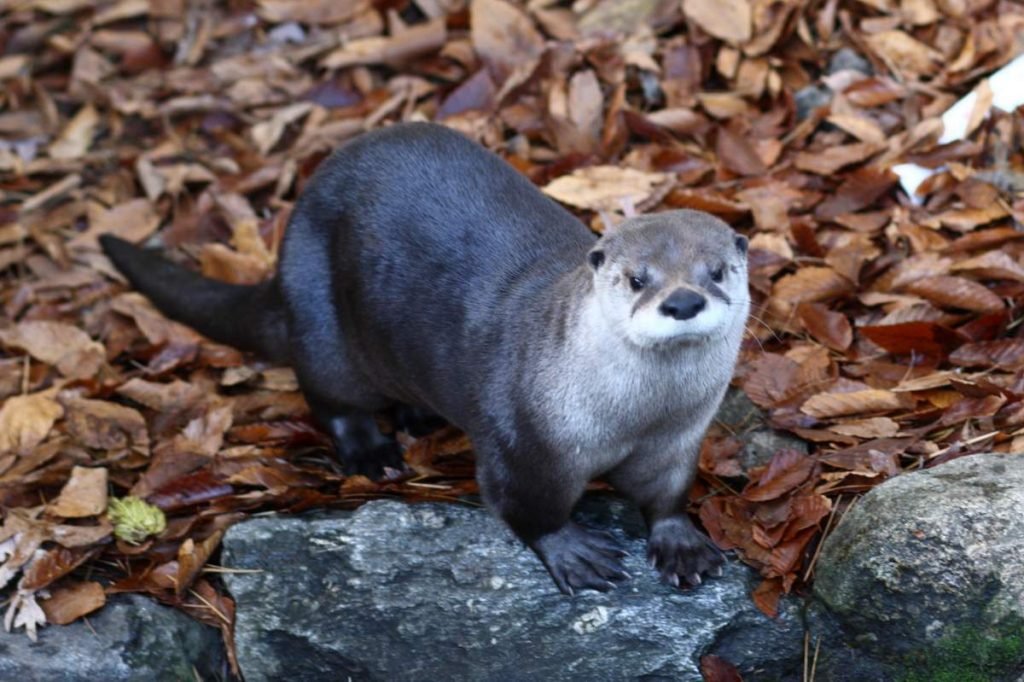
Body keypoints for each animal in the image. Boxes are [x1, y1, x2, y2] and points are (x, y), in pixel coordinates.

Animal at [99, 124, 749, 593]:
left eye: (717, 272)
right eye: (638, 278)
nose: (684, 301)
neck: (633, 417)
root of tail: (280, 266)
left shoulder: (675, 441)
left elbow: (667, 495)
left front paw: (682, 545)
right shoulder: (525, 444)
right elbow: (526, 508)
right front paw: (574, 551)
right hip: (322, 326)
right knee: (332, 399)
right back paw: (374, 453)